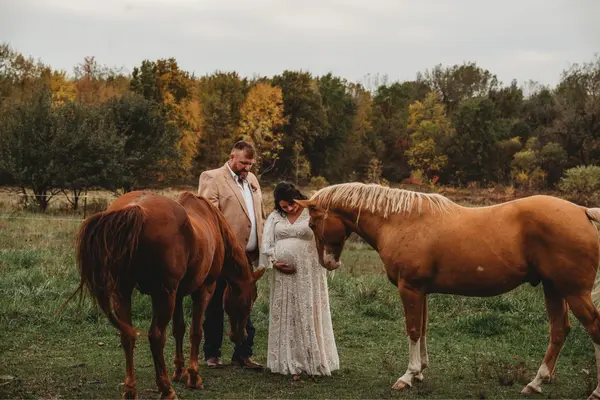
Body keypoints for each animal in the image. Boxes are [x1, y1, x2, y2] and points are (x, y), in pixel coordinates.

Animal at [61, 191, 265, 399]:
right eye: (251, 299)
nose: (241, 335)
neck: (213, 225)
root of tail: (134, 209)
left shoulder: (178, 295)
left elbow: (179, 330)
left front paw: (179, 371)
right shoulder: (203, 290)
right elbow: (195, 332)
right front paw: (193, 377)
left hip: (123, 293)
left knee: (127, 337)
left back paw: (130, 390)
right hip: (163, 296)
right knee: (156, 337)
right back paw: (166, 389)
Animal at [295, 182, 600, 399]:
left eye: (312, 224)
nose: (328, 263)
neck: (400, 221)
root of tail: (582, 211)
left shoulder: (410, 289)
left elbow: (413, 330)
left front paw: (408, 376)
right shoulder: (421, 292)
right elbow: (423, 329)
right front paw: (420, 373)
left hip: (574, 292)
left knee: (593, 327)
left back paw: (594, 391)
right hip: (554, 288)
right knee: (559, 330)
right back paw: (536, 383)